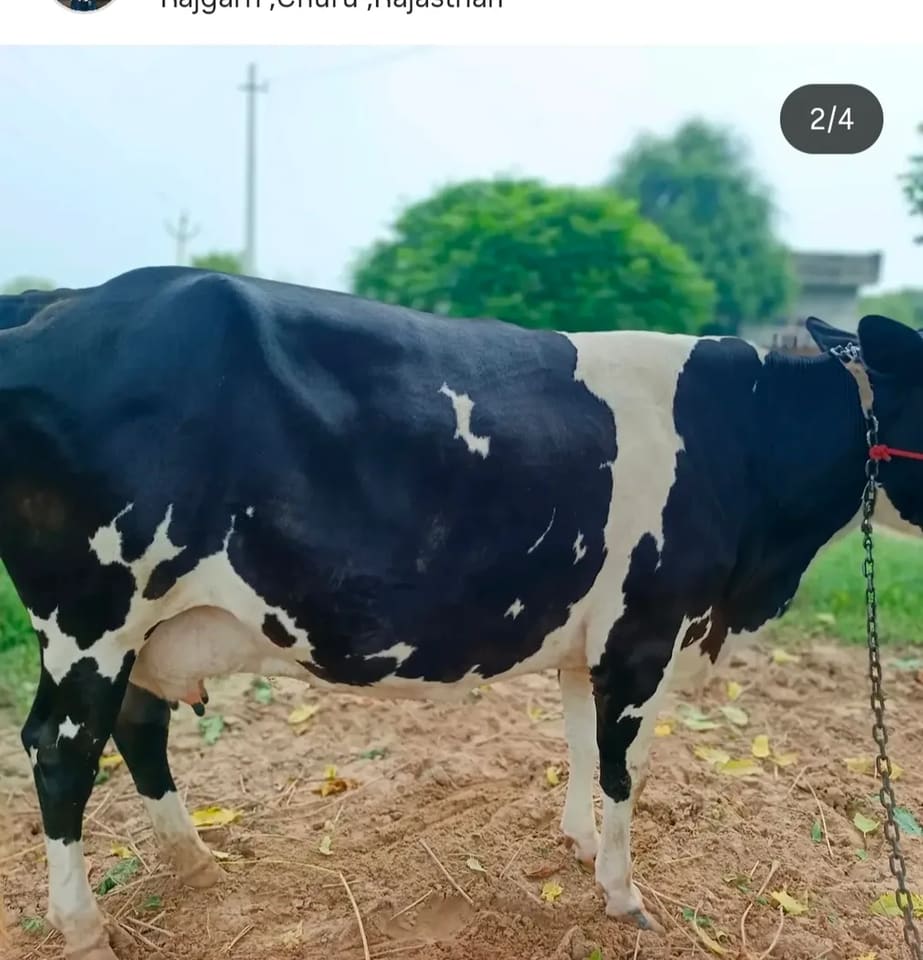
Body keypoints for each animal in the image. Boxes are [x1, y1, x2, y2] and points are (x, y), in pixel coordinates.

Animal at [3, 266, 922, 960]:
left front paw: (578, 845)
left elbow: (579, 745)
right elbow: (624, 767)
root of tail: (61, 299)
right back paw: (83, 929)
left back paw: (195, 864)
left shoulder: (587, 637)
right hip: (91, 618)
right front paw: (621, 893)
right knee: (59, 751)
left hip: (144, 627)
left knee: (136, 728)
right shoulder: (643, 632)